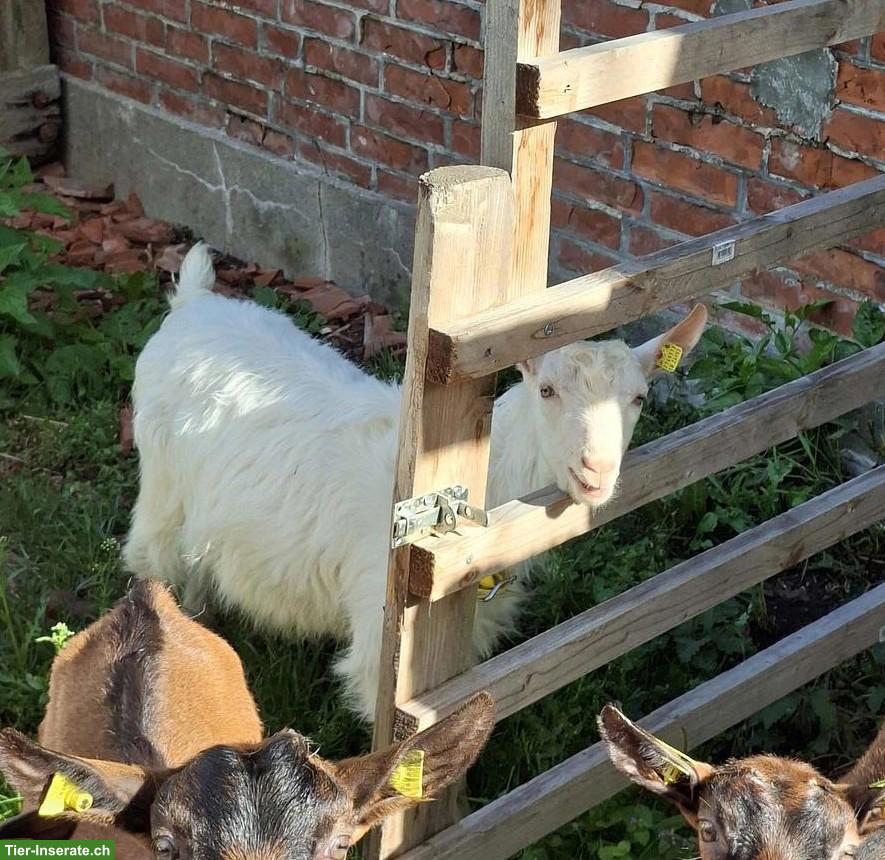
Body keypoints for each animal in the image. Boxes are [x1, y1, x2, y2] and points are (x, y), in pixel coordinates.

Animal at [123, 242, 708, 721]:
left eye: (639, 397)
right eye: (546, 390)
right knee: (151, 557)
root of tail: (194, 302)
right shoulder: (384, 641)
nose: (596, 471)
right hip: (161, 486)